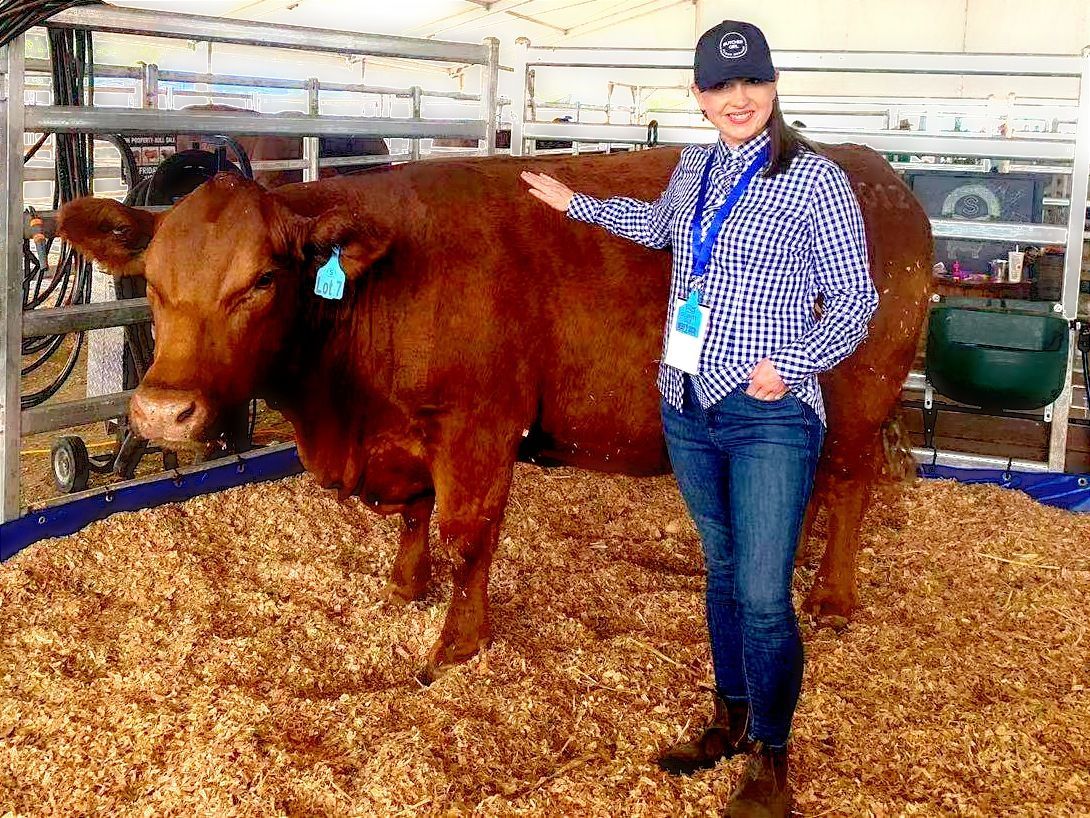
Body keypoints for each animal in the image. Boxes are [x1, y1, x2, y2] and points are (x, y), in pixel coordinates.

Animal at [58, 145, 932, 683]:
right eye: (153, 281)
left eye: (263, 280)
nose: (162, 411)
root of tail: (875, 172)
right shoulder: (403, 436)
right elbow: (415, 514)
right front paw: (404, 587)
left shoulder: (479, 426)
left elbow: (466, 532)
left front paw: (457, 642)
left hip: (860, 393)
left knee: (848, 483)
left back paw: (831, 598)